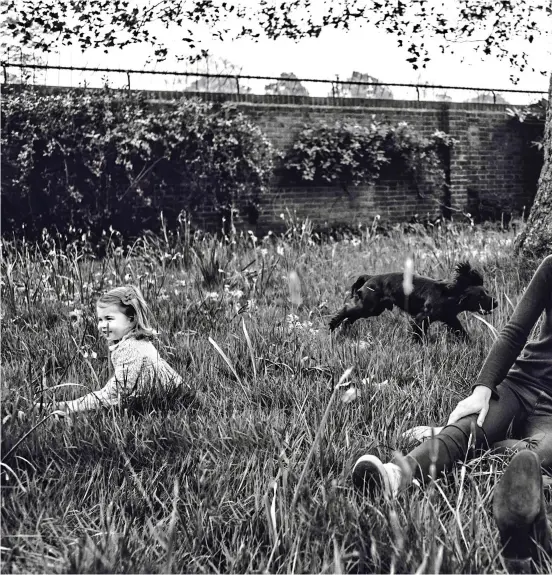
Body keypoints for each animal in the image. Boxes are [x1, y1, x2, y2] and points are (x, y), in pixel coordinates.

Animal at [330, 262, 498, 342]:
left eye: (487, 292)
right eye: (481, 296)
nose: (496, 303)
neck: (450, 293)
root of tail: (369, 277)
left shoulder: (450, 318)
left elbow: (462, 333)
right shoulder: (421, 318)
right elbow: (418, 334)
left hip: (373, 309)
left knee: (349, 317)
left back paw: (343, 331)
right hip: (369, 307)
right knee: (346, 311)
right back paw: (333, 324)